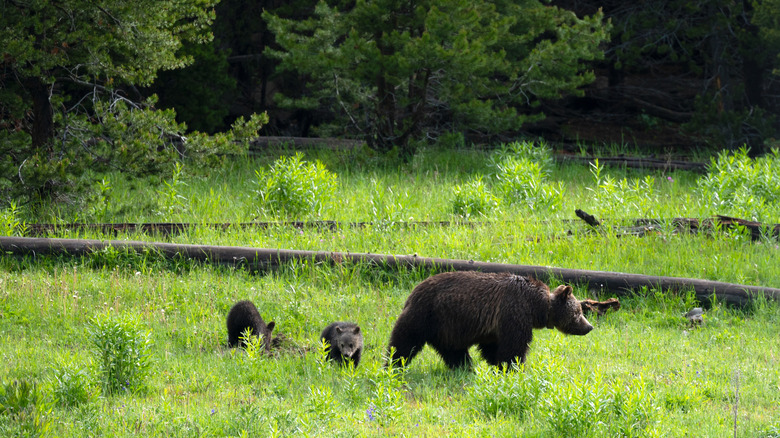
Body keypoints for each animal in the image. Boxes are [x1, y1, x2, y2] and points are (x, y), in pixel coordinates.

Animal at [386, 271, 593, 369]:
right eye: (578, 312)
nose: (589, 327)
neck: (536, 306)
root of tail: (413, 291)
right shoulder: (514, 312)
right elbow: (514, 347)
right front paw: (514, 368)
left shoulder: (494, 327)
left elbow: (494, 348)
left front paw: (499, 366)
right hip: (426, 315)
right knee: (404, 342)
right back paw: (393, 365)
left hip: (446, 328)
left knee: (453, 351)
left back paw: (464, 367)